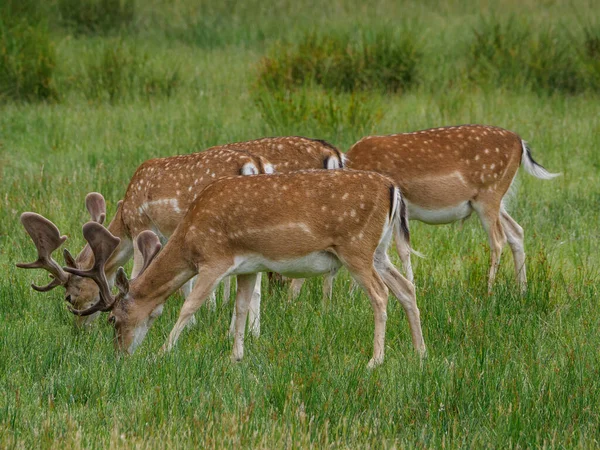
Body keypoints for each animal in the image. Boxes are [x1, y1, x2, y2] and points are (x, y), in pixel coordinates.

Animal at [17, 135, 342, 336]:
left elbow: (138, 275)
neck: (125, 219)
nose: (80, 330)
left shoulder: (144, 227)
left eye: (70, 296)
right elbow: (188, 283)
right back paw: (253, 331)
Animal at [54, 171, 424, 368]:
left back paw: (375, 360)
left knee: (380, 295)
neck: (190, 239)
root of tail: (393, 189)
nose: (121, 355)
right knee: (406, 288)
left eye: (114, 319)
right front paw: (236, 357)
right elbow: (242, 306)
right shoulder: (249, 266)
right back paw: (420, 351)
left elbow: (190, 306)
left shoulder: (214, 259)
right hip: (378, 251)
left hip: (355, 248)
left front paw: (162, 352)